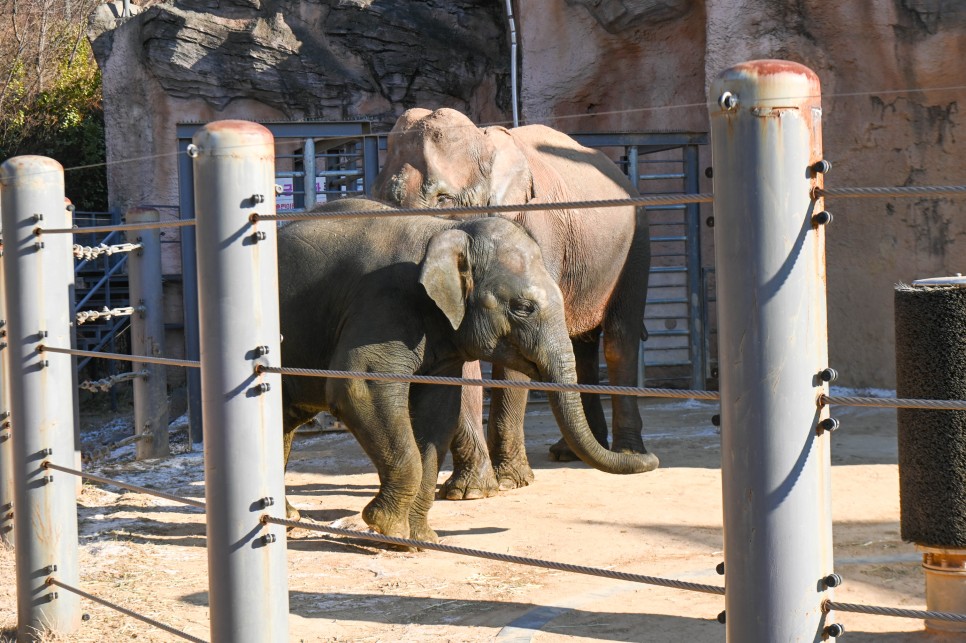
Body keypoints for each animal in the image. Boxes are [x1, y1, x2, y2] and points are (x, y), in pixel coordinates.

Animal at [280, 200, 656, 544]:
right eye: (523, 307)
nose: (650, 459)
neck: (446, 231)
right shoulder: (382, 305)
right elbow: (358, 389)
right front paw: (387, 529)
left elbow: (438, 410)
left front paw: (418, 540)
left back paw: (288, 518)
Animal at [372, 105, 656, 500]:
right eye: (382, 198)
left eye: (444, 199)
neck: (487, 141)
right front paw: (470, 491)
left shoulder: (536, 233)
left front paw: (508, 482)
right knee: (581, 344)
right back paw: (569, 451)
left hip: (635, 243)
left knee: (619, 339)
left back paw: (629, 452)